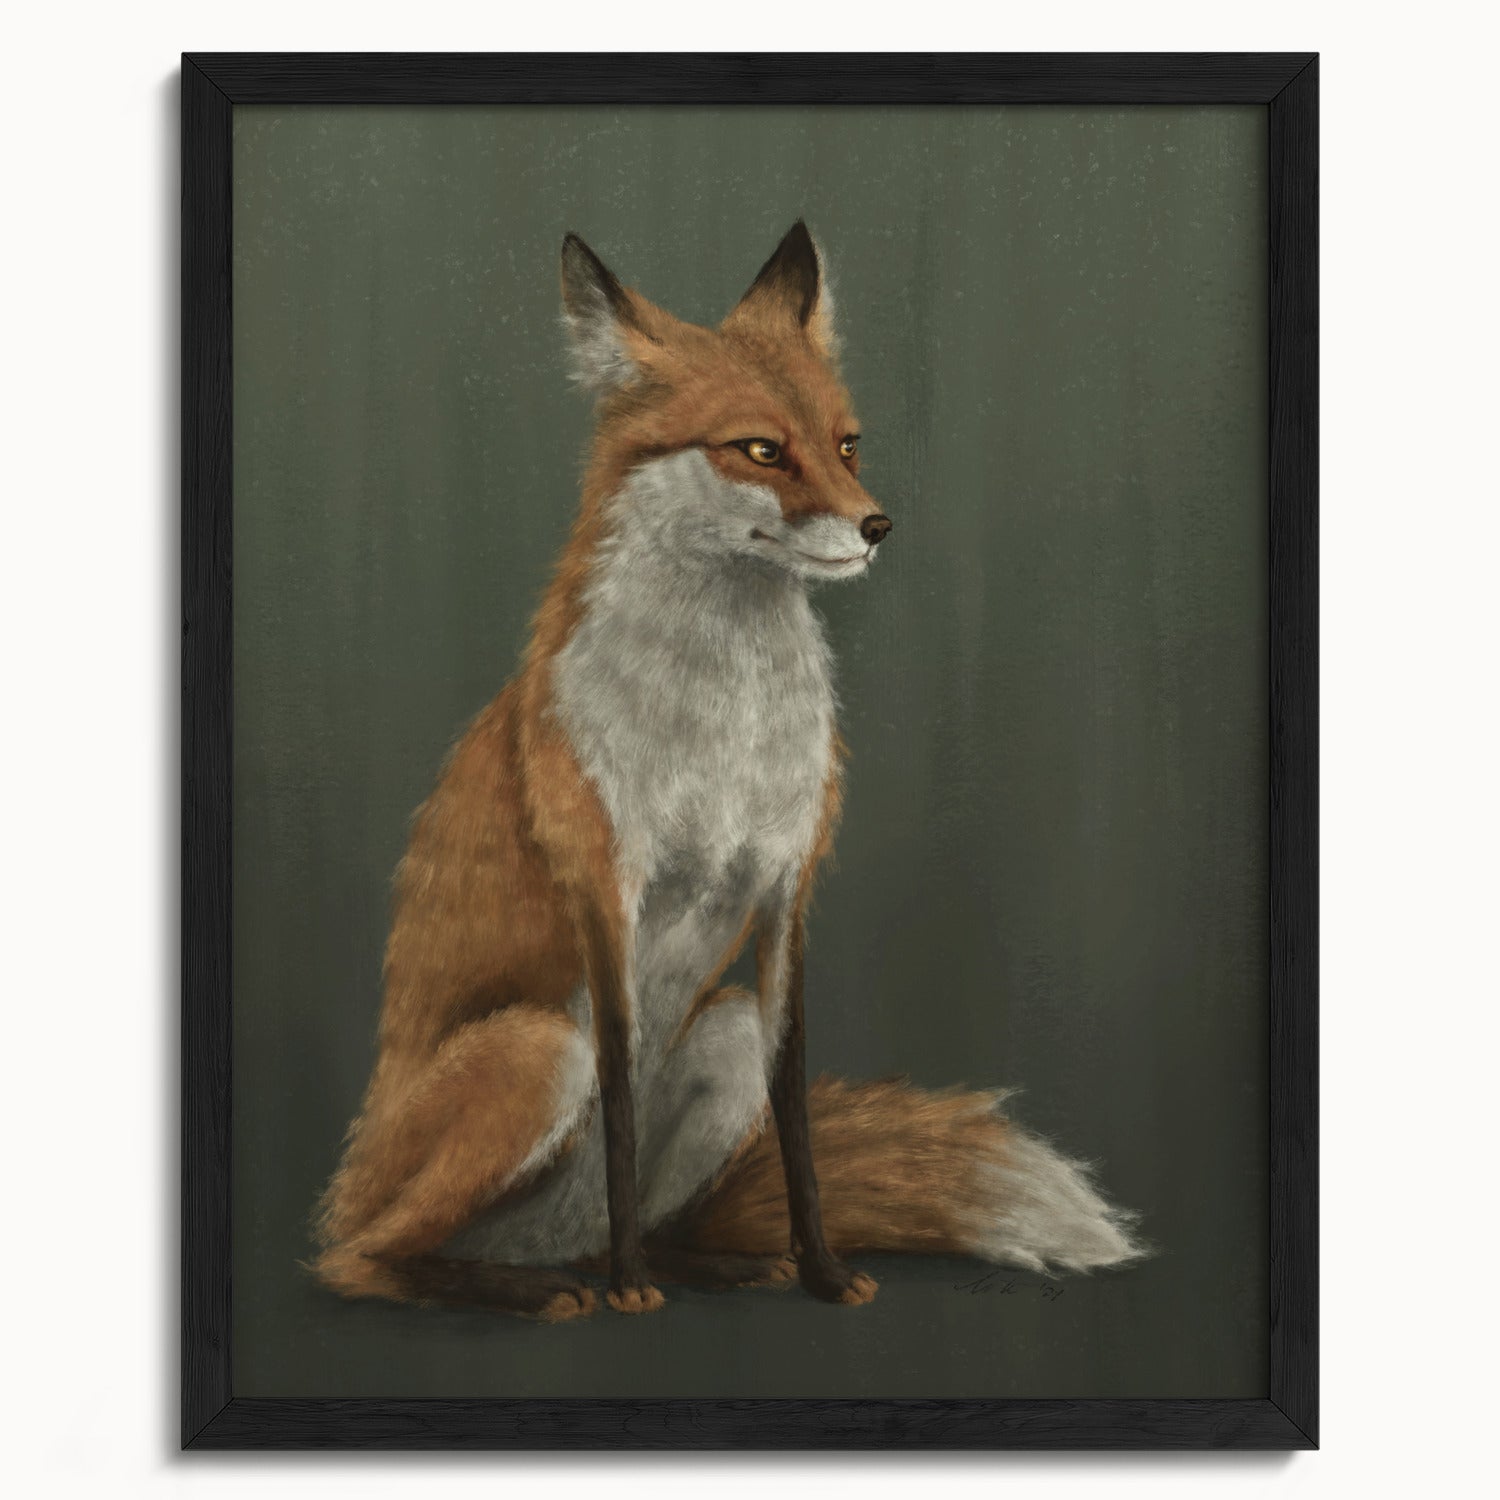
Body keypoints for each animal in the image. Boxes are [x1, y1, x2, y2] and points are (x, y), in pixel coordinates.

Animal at [312, 222, 1144, 1321]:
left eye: (847, 444)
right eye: (760, 449)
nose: (878, 526)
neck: (726, 731)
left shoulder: (787, 888)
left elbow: (794, 1113)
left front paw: (822, 1271)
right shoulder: (606, 890)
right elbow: (621, 1099)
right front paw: (630, 1292)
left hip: (722, 1034)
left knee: (644, 1215)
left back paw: (705, 1263)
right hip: (535, 1051)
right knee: (362, 1259)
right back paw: (541, 1286)